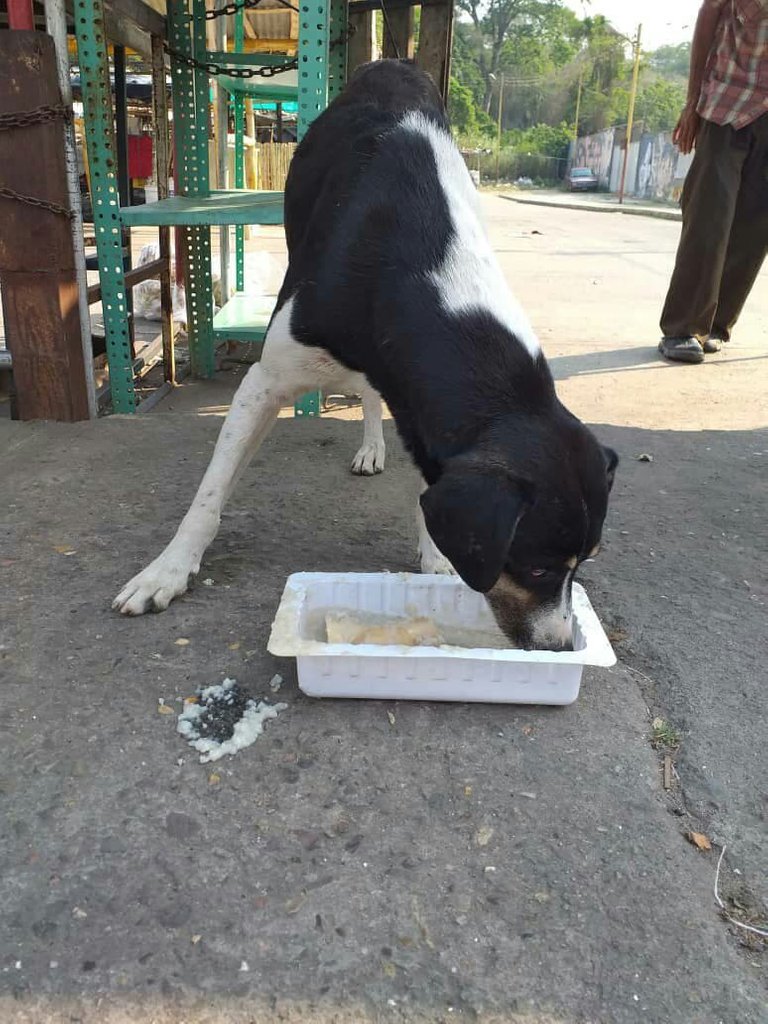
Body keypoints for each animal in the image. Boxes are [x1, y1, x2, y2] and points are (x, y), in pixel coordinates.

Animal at [114, 59, 618, 647]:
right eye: (537, 566)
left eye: (585, 563)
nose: (558, 644)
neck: (420, 261)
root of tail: (393, 63)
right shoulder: (264, 380)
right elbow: (209, 495)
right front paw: (167, 571)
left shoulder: (423, 410)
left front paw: (436, 555)